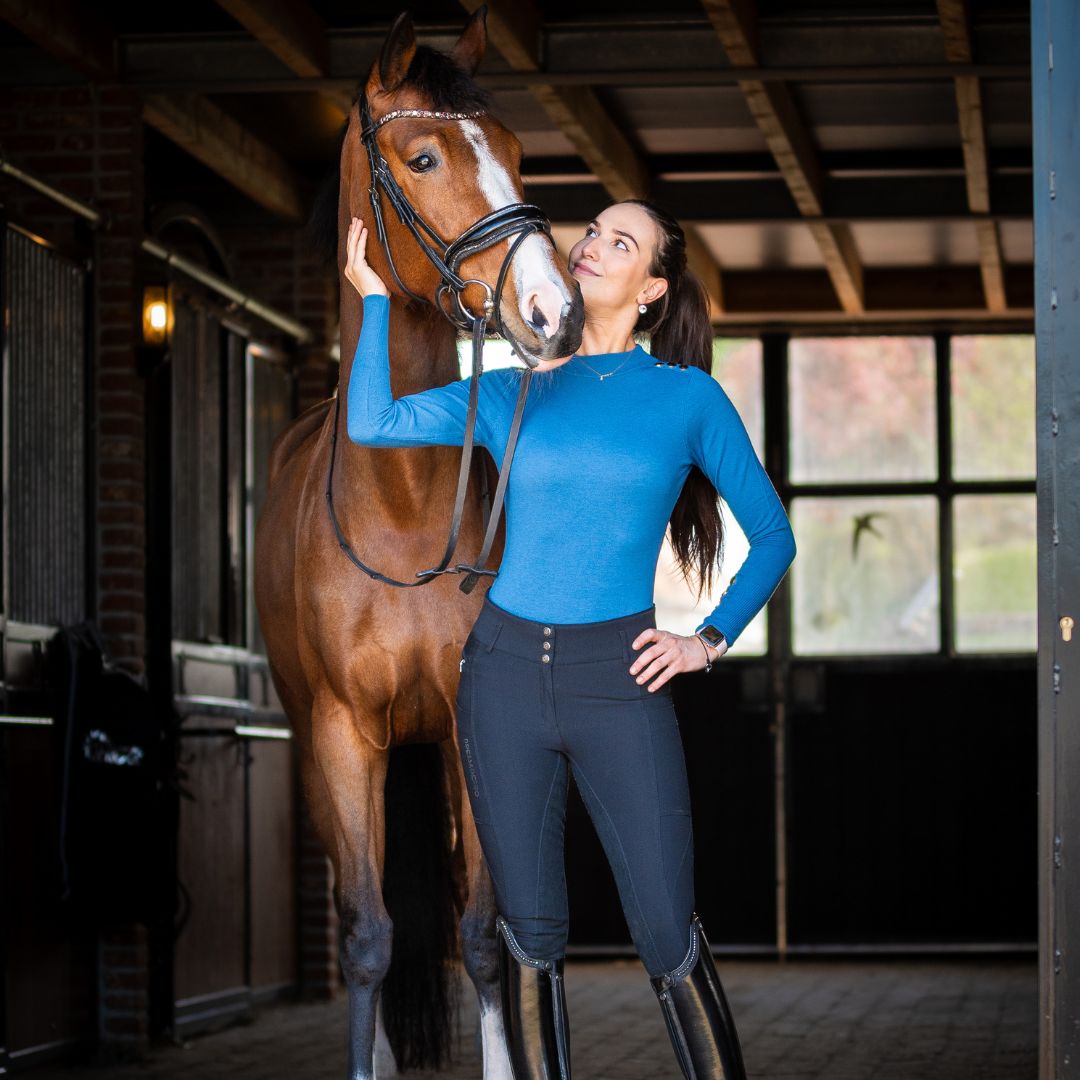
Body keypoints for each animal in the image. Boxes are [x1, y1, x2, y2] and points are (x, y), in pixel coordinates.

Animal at [251, 10, 583, 1080]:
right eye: (424, 156)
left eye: (516, 151)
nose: (554, 310)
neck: (400, 510)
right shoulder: (343, 737)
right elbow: (366, 938)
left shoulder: (476, 732)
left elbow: (483, 935)